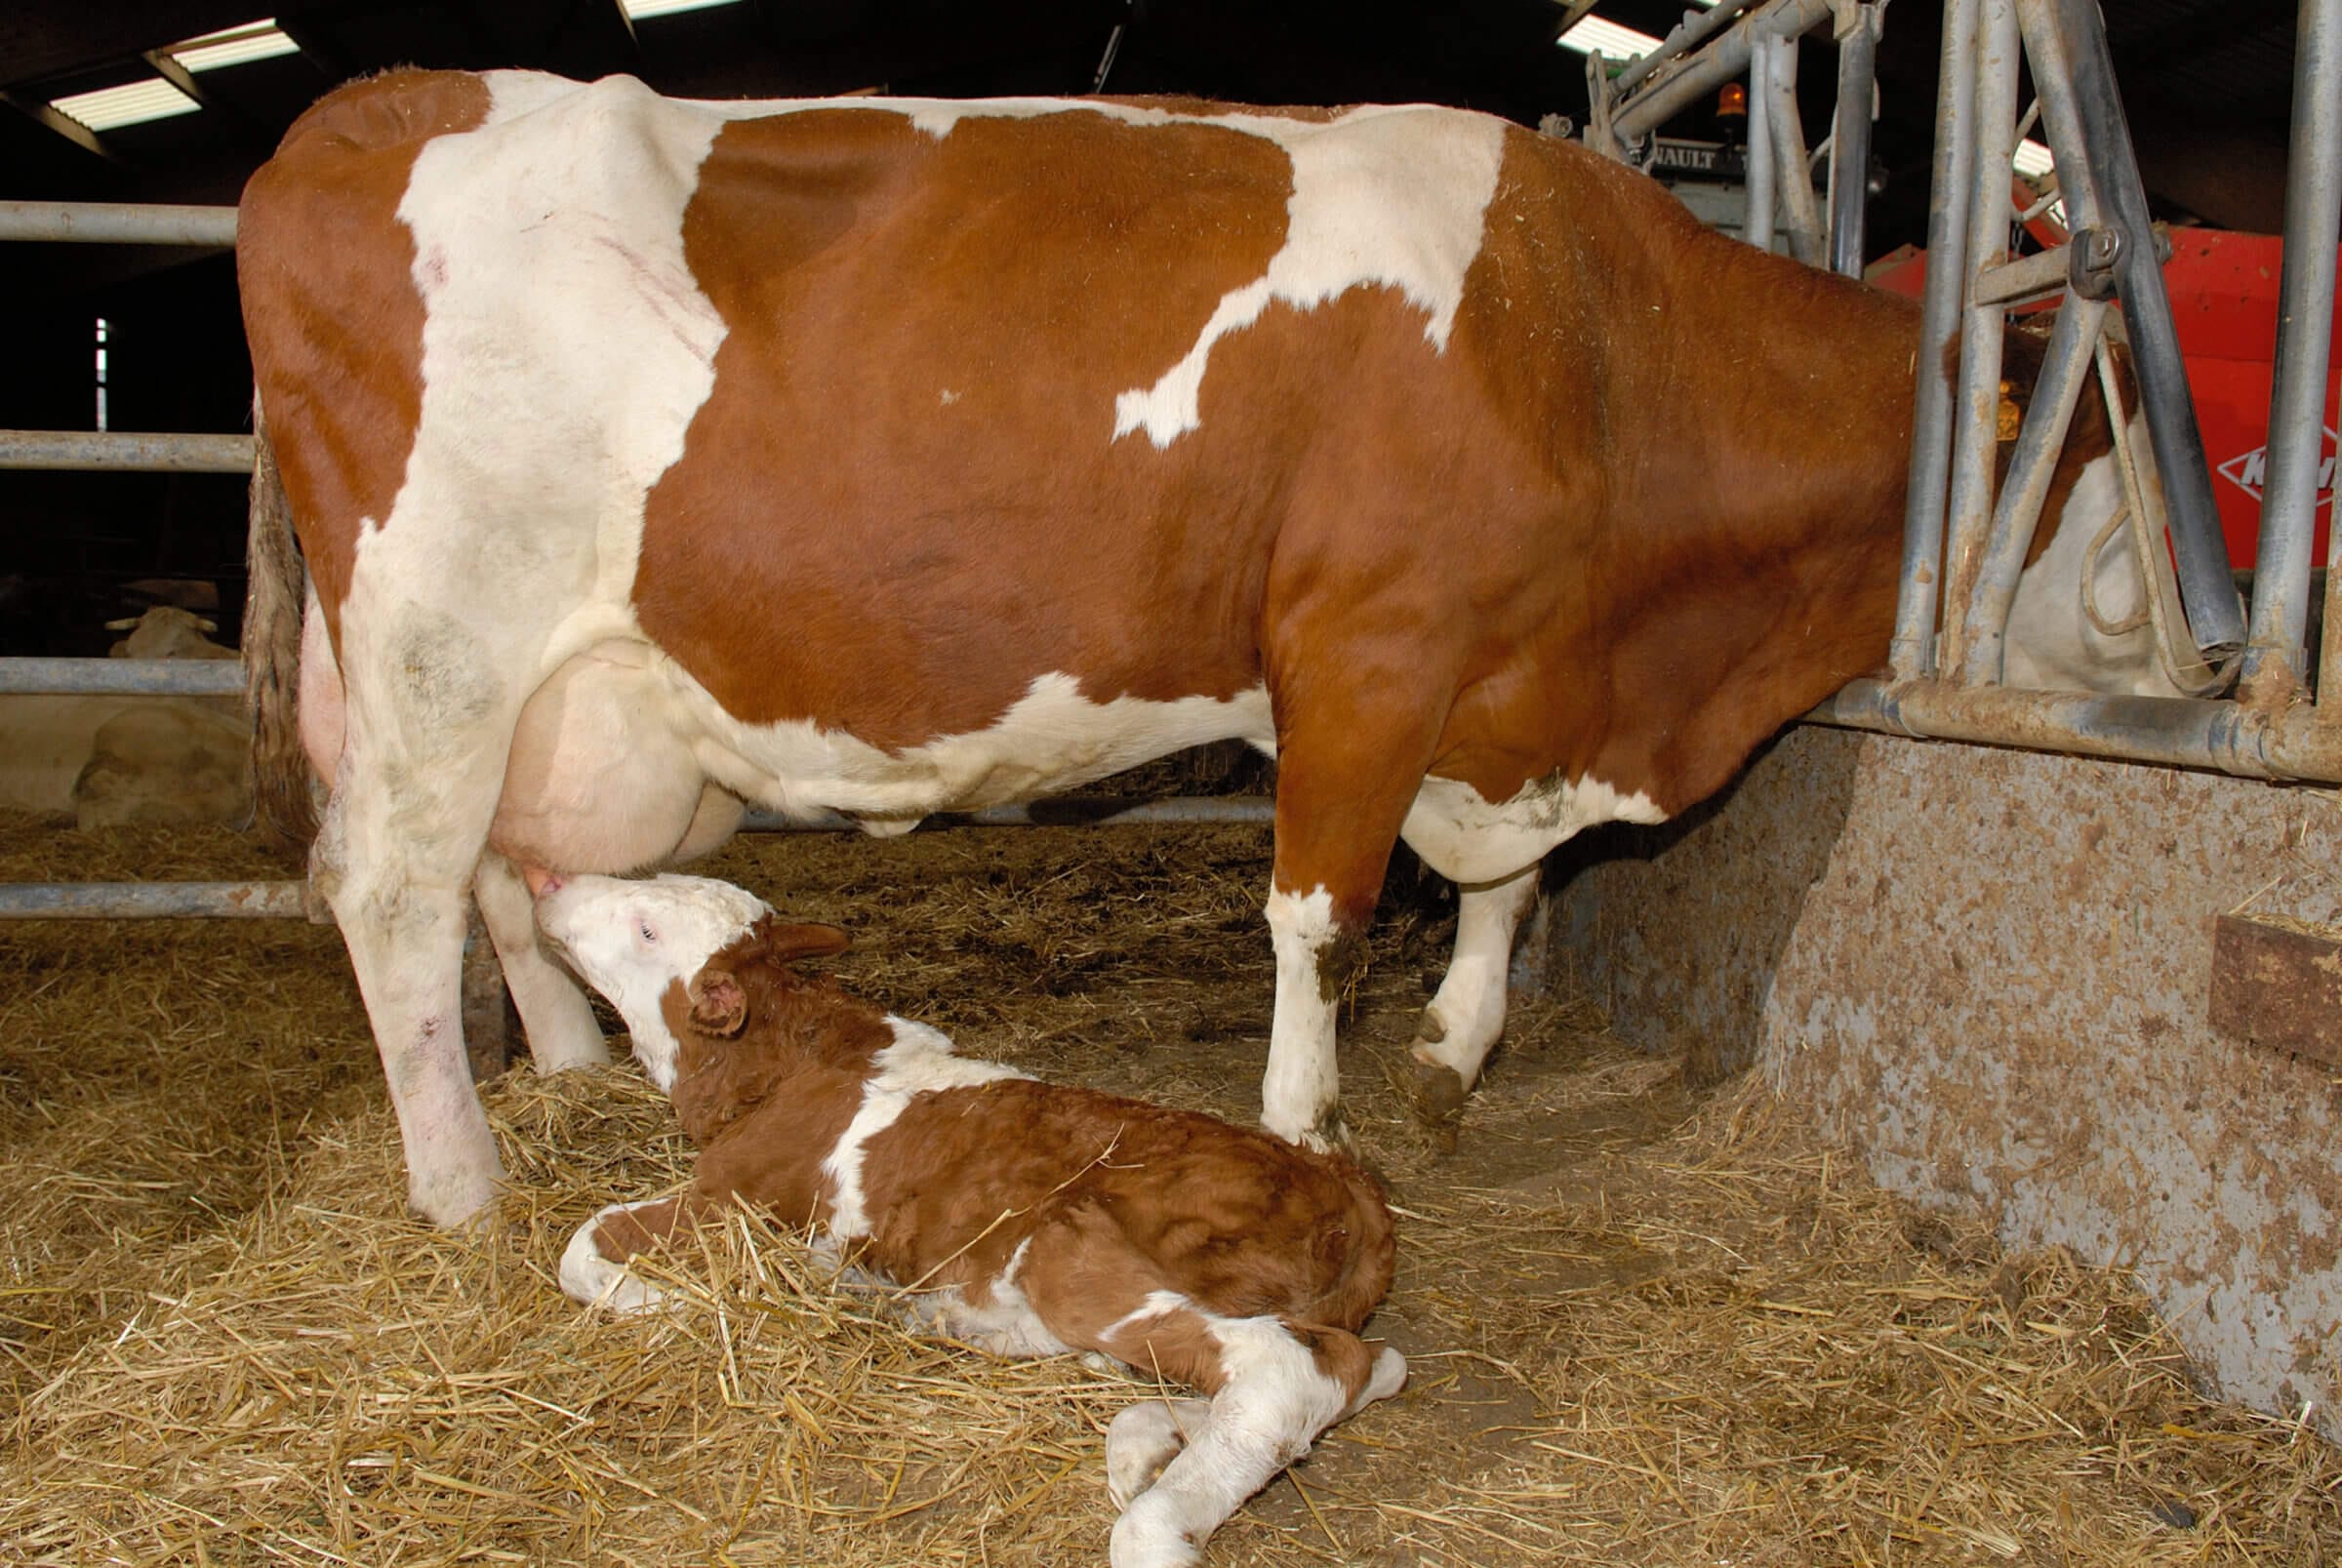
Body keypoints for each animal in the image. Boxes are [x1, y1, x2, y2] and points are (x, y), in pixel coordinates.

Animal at [536, 870, 1395, 1568]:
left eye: (647, 928)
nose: (548, 880)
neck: (781, 1059)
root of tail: (1343, 1181)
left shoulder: (735, 1199)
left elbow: (579, 1244)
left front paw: (673, 1302)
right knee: (1369, 1362)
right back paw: (1148, 1438)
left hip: (1070, 1254)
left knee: (1291, 1371)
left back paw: (1159, 1524)